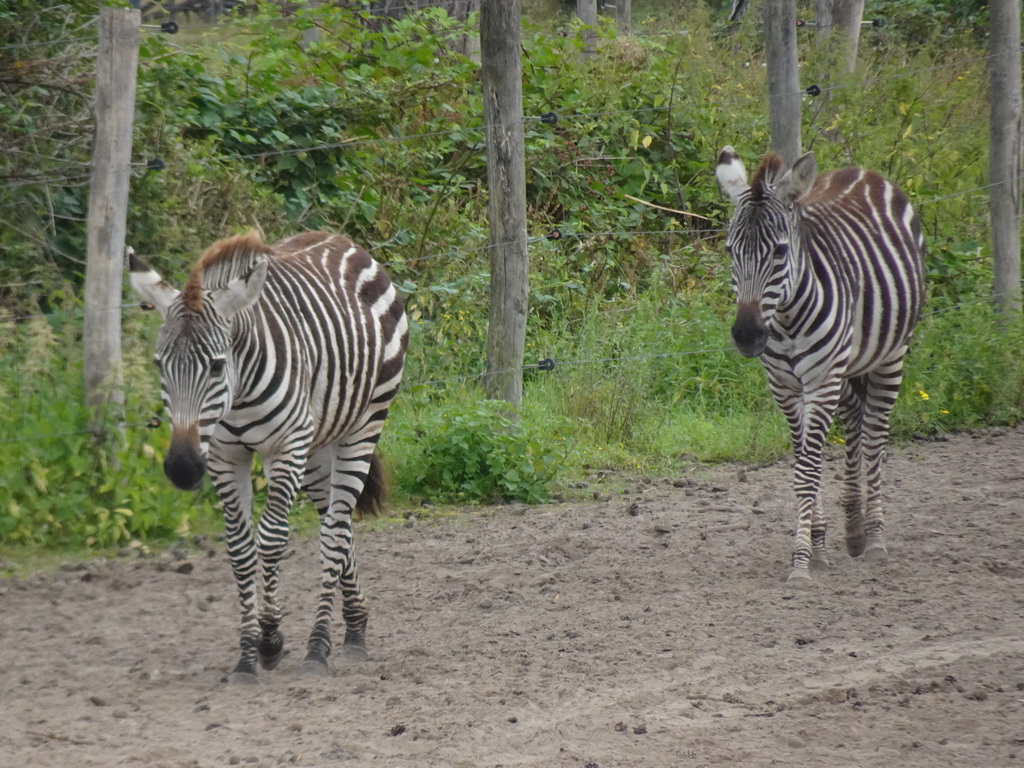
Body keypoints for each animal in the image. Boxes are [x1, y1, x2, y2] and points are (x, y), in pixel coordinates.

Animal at [130, 231, 409, 684]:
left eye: (216, 366)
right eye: (159, 365)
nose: (182, 468)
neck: (238, 395)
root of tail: (339, 238)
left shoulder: (285, 446)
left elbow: (273, 539)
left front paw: (271, 639)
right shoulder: (224, 457)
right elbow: (241, 548)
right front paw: (248, 655)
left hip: (363, 423)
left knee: (333, 533)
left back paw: (319, 647)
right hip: (317, 446)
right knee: (338, 523)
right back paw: (354, 629)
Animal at [712, 147, 929, 585]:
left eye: (779, 251)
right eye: (729, 251)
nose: (746, 336)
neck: (787, 317)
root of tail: (862, 172)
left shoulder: (821, 381)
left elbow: (809, 468)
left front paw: (800, 562)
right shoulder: (785, 387)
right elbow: (802, 466)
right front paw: (818, 548)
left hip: (890, 354)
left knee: (875, 435)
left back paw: (874, 539)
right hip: (846, 369)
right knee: (855, 419)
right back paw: (854, 530)